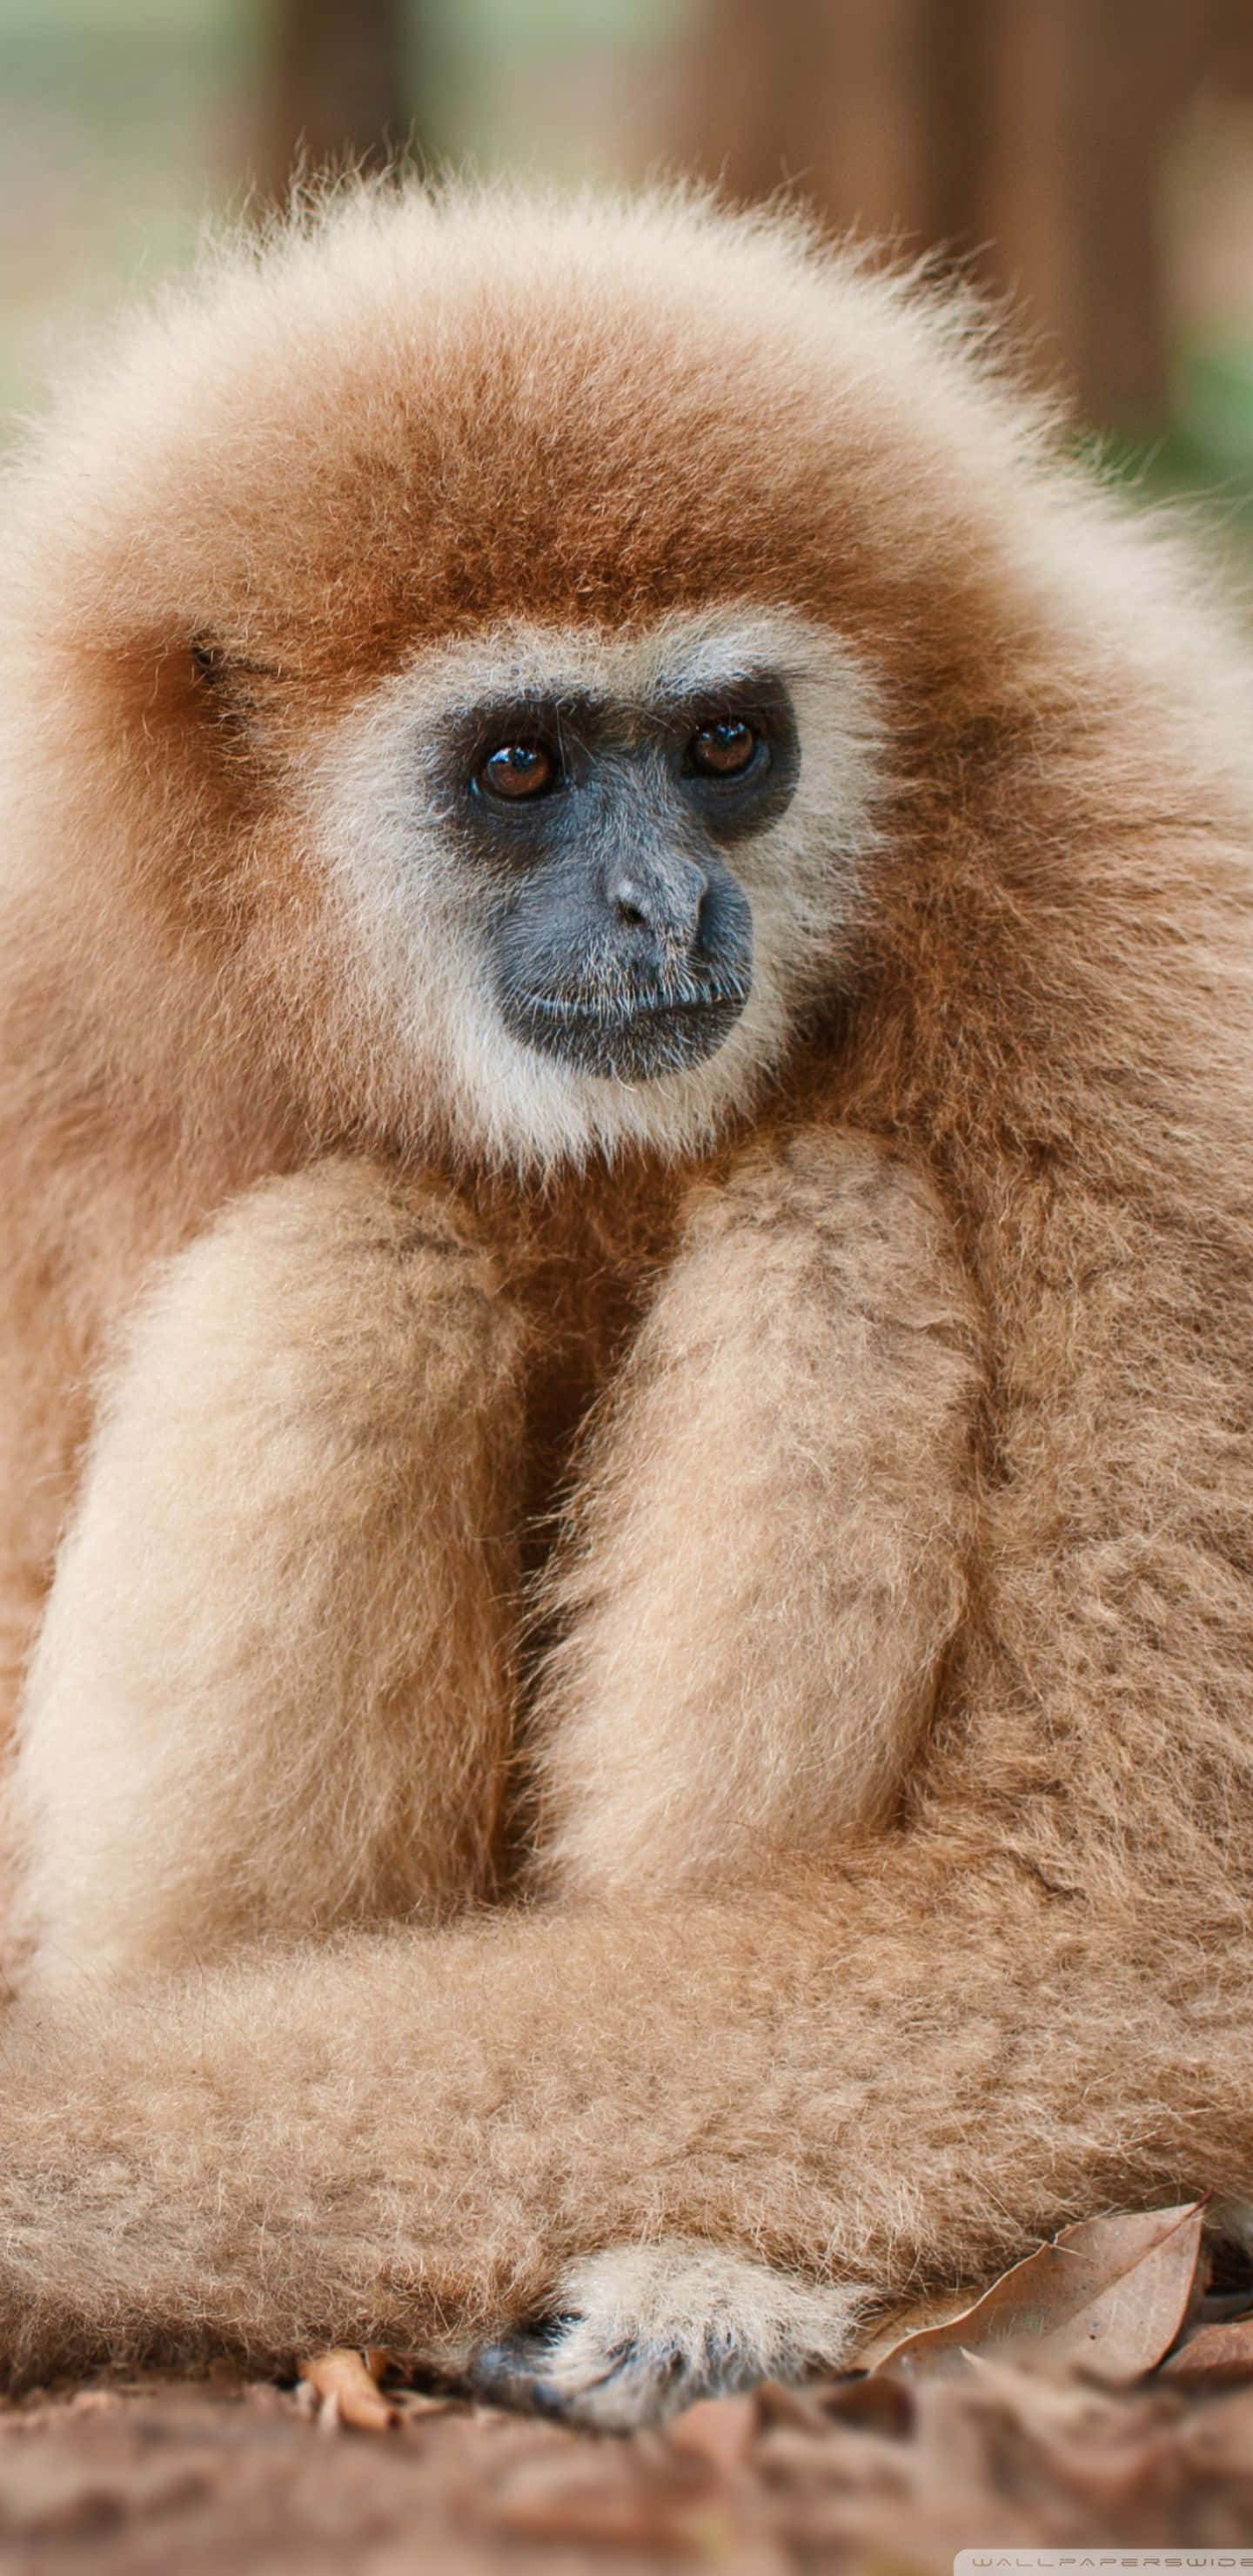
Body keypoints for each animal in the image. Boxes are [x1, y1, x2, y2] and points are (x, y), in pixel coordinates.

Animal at [1, 178, 1253, 2429]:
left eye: (726, 744)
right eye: (516, 765)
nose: (663, 902)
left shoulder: (1136, 917)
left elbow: (1123, 1914)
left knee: (826, 1227)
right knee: (363, 1265)